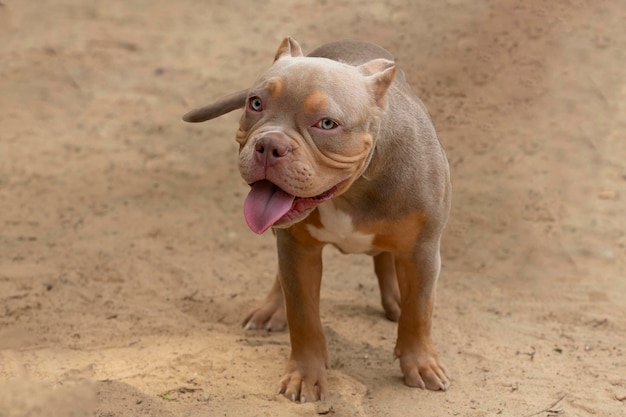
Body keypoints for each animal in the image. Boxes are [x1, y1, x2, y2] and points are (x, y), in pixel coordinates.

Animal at [183, 37, 450, 402]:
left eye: (326, 124)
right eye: (256, 103)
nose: (269, 145)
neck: (352, 189)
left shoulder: (423, 251)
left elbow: (419, 313)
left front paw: (420, 364)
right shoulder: (298, 249)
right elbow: (303, 316)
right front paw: (305, 375)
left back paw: (395, 297)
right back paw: (271, 309)